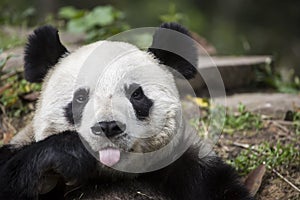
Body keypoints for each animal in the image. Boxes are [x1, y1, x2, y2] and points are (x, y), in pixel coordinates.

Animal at [0, 22, 254, 199]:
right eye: (80, 98)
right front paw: (67, 153)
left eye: (136, 94)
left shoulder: (191, 166)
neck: (108, 176)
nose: (108, 127)